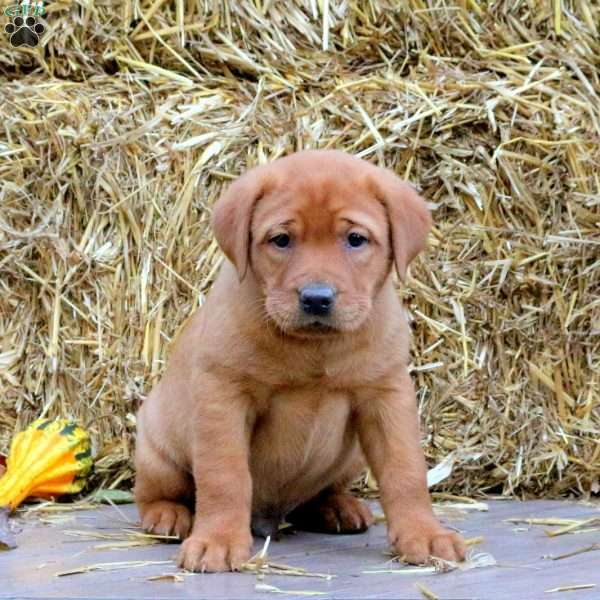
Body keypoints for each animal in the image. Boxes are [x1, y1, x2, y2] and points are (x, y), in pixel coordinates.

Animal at [134, 150, 466, 572]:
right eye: (281, 240)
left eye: (355, 239)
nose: (316, 298)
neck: (315, 348)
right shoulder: (222, 397)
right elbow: (224, 476)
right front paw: (217, 540)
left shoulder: (387, 397)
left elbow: (405, 471)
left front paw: (424, 534)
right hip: (157, 450)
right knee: (156, 492)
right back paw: (168, 515)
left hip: (351, 457)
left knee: (321, 494)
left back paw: (337, 507)